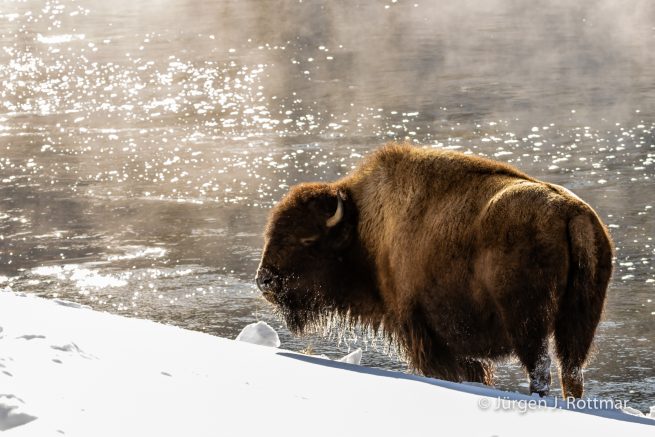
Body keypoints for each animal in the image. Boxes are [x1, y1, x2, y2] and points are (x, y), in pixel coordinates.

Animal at [256, 143, 612, 398]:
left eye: (306, 239)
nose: (264, 281)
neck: (364, 226)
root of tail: (573, 215)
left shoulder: (419, 329)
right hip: (579, 321)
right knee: (571, 370)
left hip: (528, 323)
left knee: (540, 368)